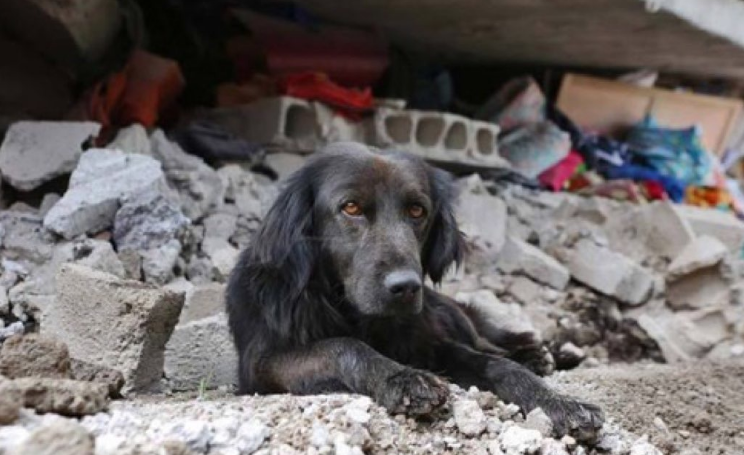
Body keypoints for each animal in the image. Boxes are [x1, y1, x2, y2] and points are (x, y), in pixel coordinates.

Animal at [227, 142, 604, 442]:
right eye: (351, 207)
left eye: (417, 210)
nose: (406, 286)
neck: (361, 318)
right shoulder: (262, 364)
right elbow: (342, 346)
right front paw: (403, 378)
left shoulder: (434, 344)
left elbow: (498, 365)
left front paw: (560, 403)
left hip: (449, 313)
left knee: (489, 342)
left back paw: (536, 355)